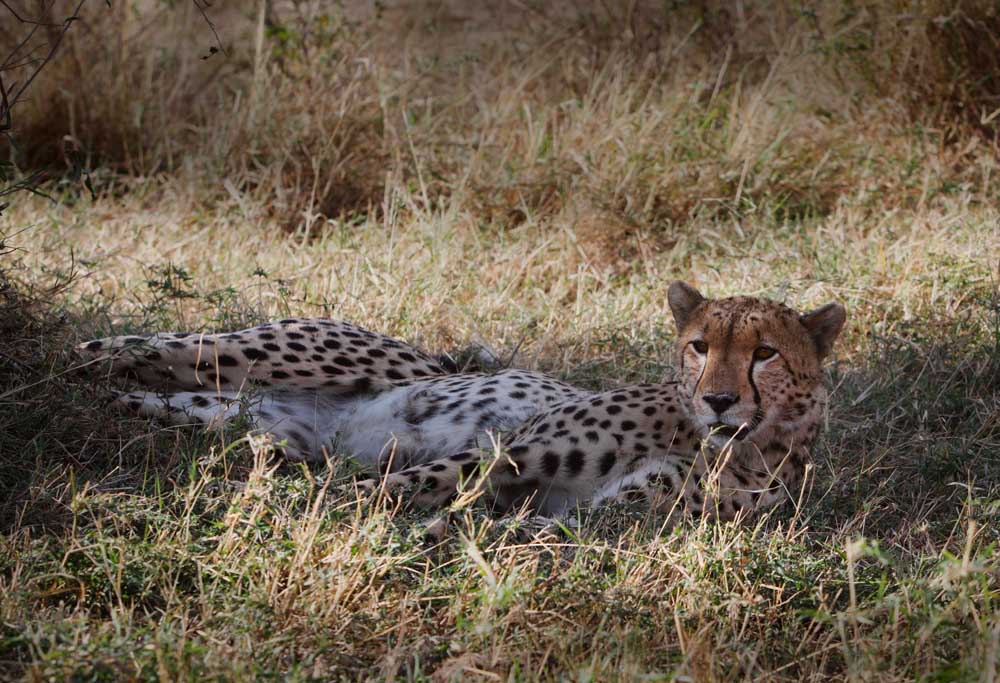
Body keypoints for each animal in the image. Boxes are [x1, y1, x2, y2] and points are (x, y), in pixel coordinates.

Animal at [78, 284, 844, 524]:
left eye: (764, 353)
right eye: (698, 345)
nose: (718, 399)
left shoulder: (611, 510)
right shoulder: (514, 448)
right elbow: (396, 484)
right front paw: (325, 510)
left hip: (231, 415)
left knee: (141, 394)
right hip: (270, 352)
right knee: (120, 345)